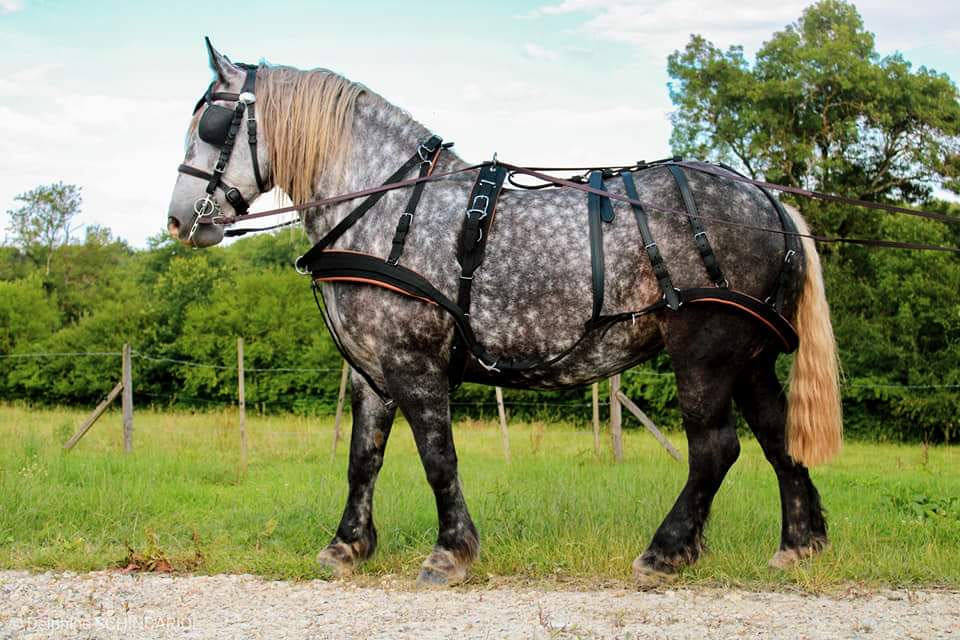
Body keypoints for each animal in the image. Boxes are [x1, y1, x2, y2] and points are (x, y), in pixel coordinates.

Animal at [166, 39, 842, 587]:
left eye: (213, 123)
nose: (178, 221)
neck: (387, 208)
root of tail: (772, 203)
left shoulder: (413, 363)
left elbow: (437, 456)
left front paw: (450, 552)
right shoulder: (369, 370)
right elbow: (364, 458)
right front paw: (347, 546)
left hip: (705, 349)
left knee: (716, 449)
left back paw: (666, 552)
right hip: (749, 356)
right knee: (779, 438)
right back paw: (799, 545)